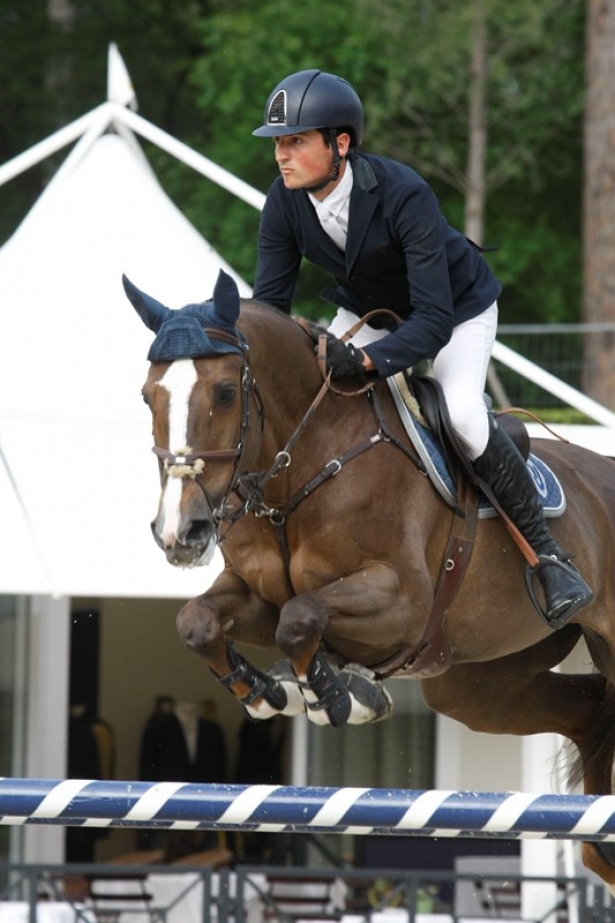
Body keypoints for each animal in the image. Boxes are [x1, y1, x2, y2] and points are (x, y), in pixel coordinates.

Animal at [122, 268, 615, 888]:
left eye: (226, 392)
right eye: (148, 396)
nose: (179, 531)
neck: (301, 463)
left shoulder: (403, 604)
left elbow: (300, 618)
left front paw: (339, 696)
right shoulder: (258, 593)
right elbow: (200, 621)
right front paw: (268, 690)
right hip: (476, 682)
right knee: (591, 714)